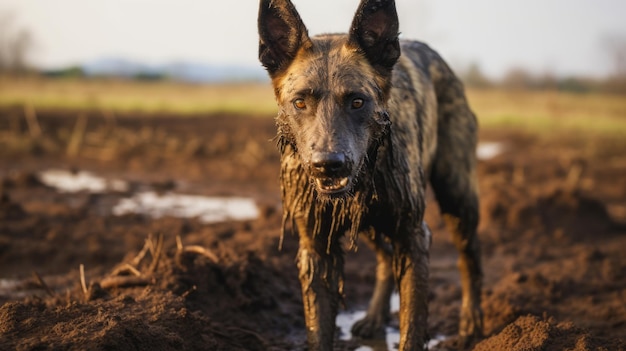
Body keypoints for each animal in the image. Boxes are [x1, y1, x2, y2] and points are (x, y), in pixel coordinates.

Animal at [256, 0, 480, 350]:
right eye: (300, 102)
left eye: (358, 101)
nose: (328, 164)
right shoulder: (316, 249)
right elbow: (318, 330)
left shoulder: (413, 236)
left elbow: (412, 325)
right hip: (372, 221)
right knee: (385, 260)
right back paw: (375, 318)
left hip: (456, 195)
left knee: (469, 256)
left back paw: (471, 324)